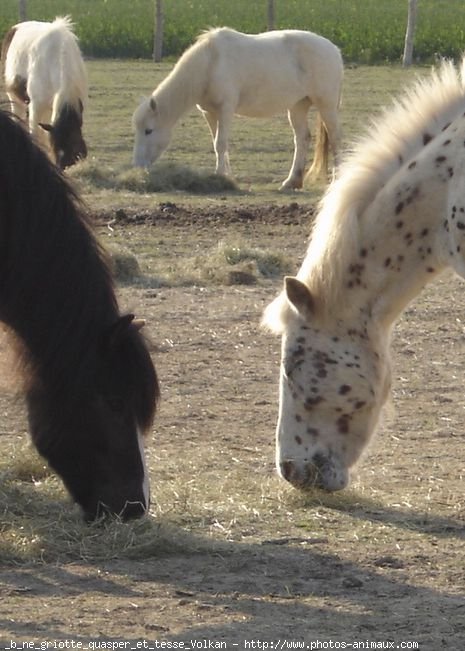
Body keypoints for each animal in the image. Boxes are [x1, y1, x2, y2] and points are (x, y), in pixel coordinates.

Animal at [2, 16, 88, 169]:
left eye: (75, 151)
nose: (63, 166)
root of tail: (15, 27)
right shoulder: (36, 106)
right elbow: (35, 133)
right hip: (15, 98)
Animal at [132, 28, 342, 191]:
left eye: (148, 130)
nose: (138, 166)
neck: (211, 63)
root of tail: (334, 49)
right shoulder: (210, 113)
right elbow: (217, 144)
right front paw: (227, 176)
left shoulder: (225, 109)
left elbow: (220, 143)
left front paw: (220, 176)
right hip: (297, 106)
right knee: (302, 138)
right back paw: (292, 181)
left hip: (327, 105)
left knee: (335, 138)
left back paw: (337, 179)